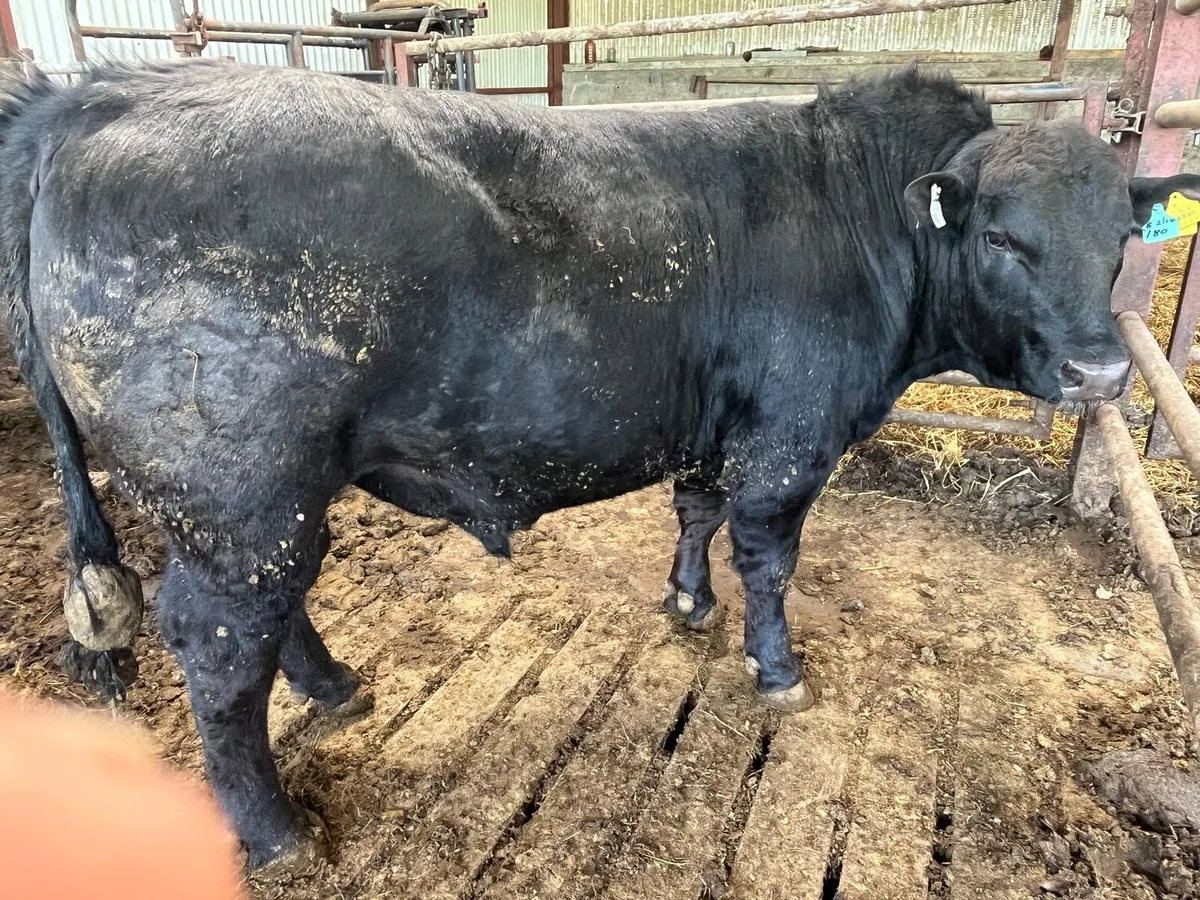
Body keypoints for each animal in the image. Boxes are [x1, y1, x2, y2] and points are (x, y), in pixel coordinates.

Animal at [2, 60, 1195, 869]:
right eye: (1002, 238)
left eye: (1118, 240)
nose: (1100, 370)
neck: (856, 215)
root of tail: (100, 95)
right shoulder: (789, 439)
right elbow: (769, 559)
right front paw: (775, 666)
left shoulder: (718, 425)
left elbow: (696, 512)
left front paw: (686, 602)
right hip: (241, 493)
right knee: (218, 646)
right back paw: (274, 830)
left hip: (250, 502)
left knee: (263, 616)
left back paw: (336, 688)